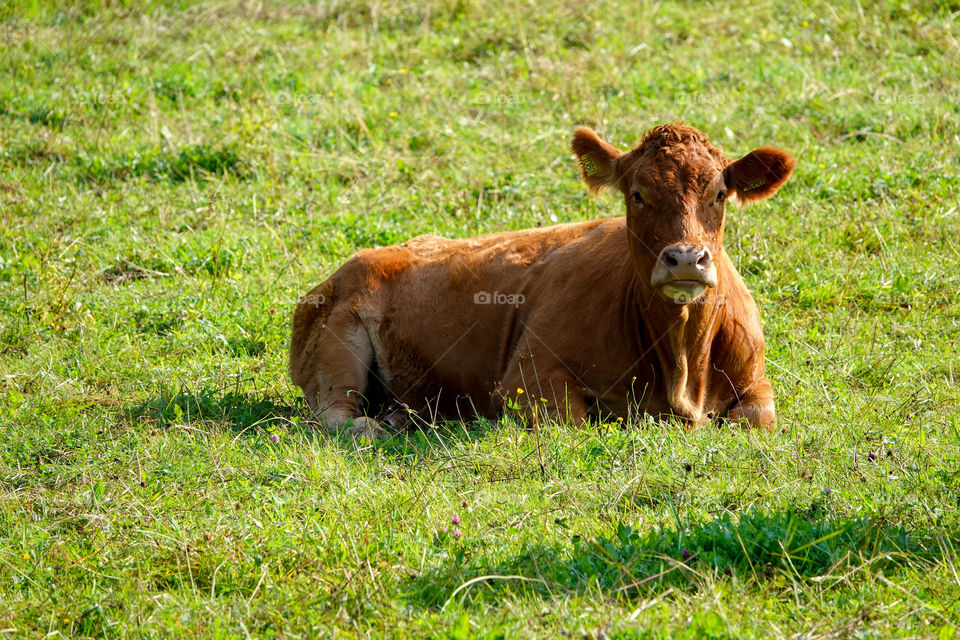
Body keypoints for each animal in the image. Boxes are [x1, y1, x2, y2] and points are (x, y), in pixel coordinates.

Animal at [286, 122, 796, 438]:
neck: (683, 370)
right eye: (637, 194)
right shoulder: (525, 377)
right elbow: (574, 419)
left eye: (719, 194)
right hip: (337, 349)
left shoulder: (756, 381)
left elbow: (757, 418)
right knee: (336, 415)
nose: (686, 259)